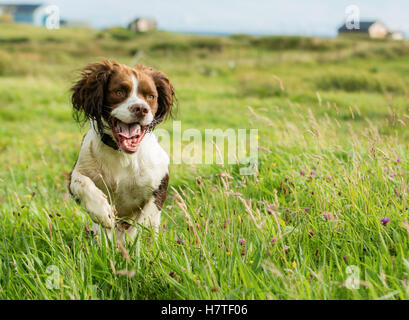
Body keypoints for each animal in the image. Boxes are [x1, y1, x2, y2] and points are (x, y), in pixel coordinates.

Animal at [66, 59, 174, 240]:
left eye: (151, 96)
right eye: (119, 92)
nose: (141, 109)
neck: (123, 154)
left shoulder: (159, 183)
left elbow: (144, 220)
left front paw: (135, 238)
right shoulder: (77, 173)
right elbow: (81, 183)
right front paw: (103, 212)